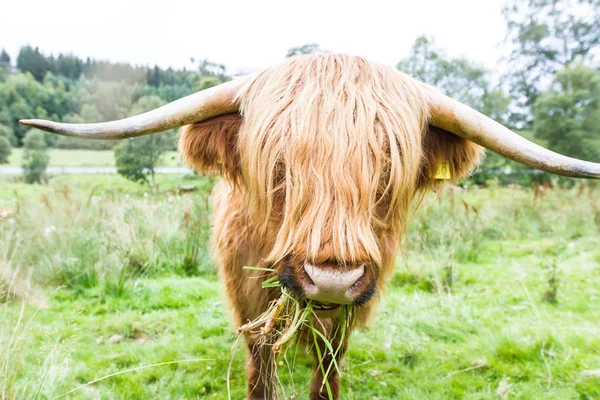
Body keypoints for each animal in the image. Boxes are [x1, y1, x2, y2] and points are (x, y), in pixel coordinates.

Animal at [22, 54, 600, 400]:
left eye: (386, 168)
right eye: (278, 164)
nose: (332, 280)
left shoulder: (349, 313)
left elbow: (327, 370)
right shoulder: (249, 302)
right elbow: (260, 368)